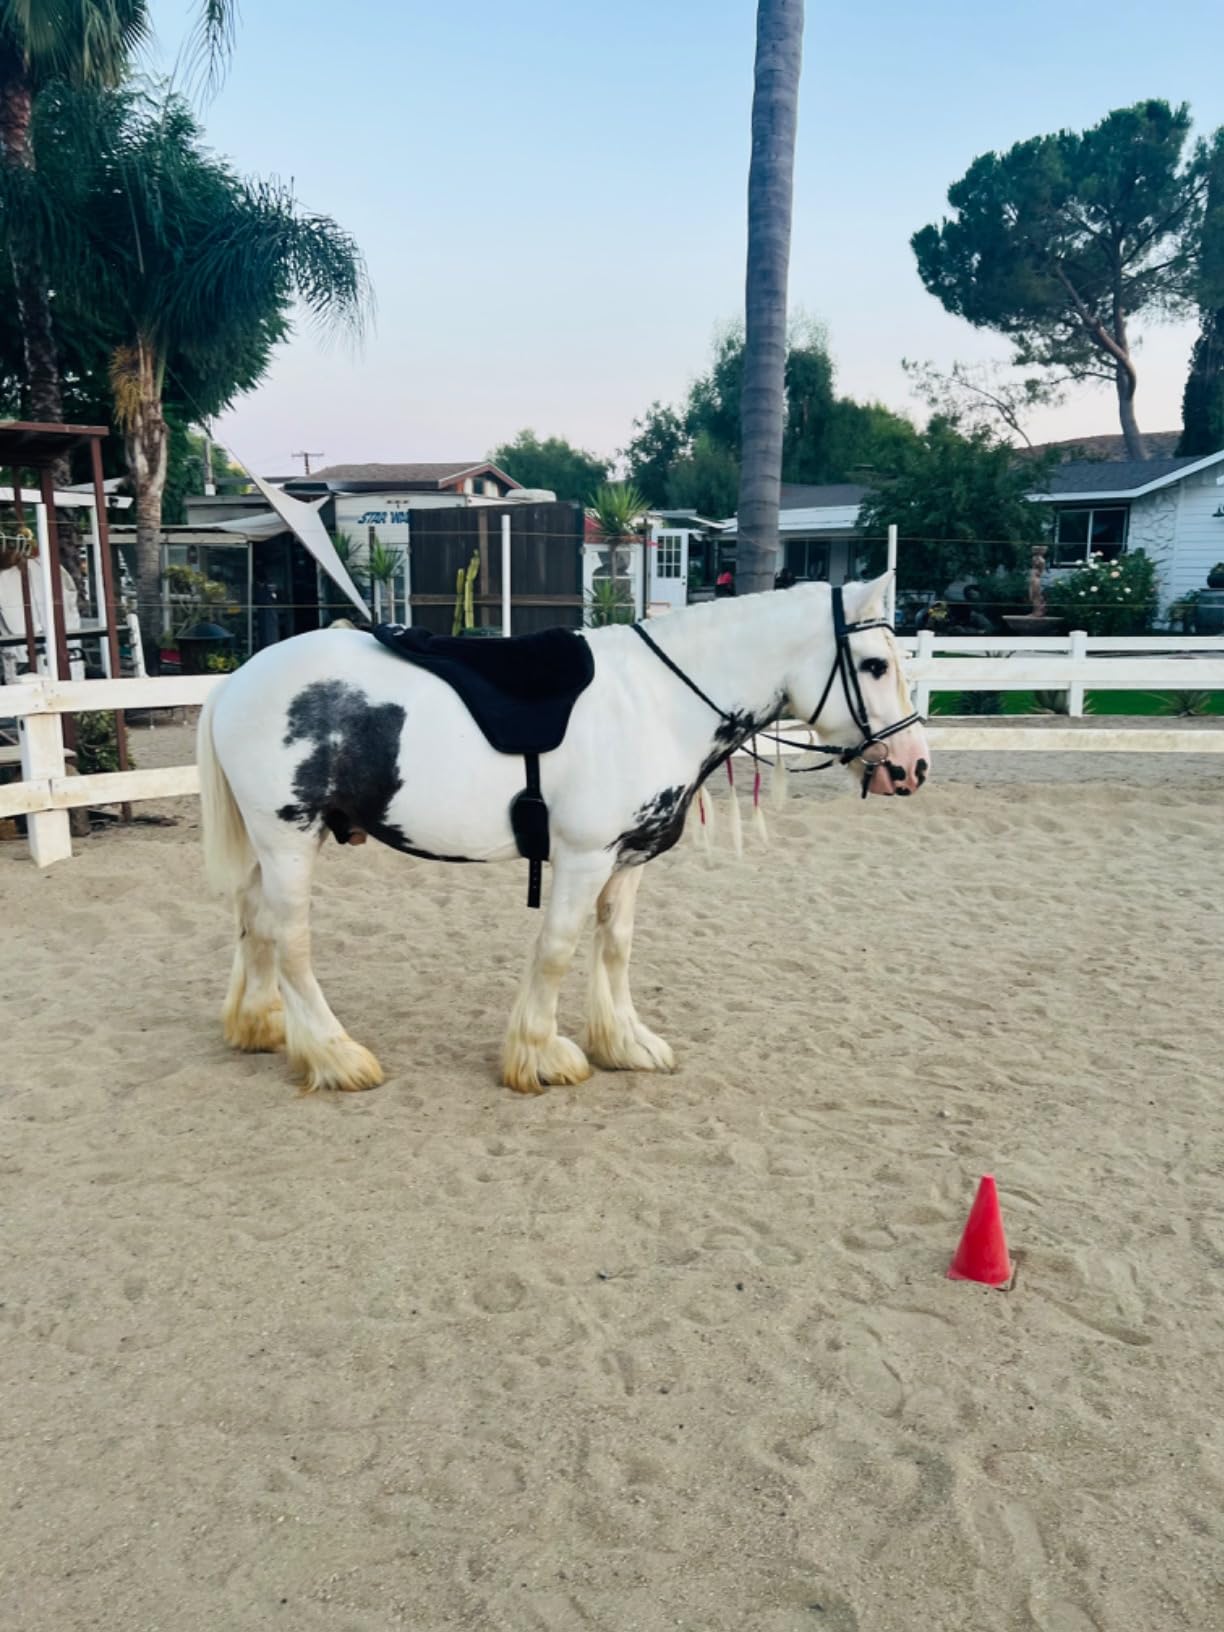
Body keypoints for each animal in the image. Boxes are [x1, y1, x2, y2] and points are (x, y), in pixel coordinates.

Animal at [196, 575, 929, 1095]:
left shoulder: (627, 861)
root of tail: (235, 681)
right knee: (290, 940)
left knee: (254, 923)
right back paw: (335, 1054)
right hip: (289, 841)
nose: (913, 765)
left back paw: (263, 1025)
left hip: (274, 849)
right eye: (873, 665)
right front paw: (540, 1055)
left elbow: (615, 948)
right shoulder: (582, 858)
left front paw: (625, 1043)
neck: (659, 700)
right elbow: (557, 949)